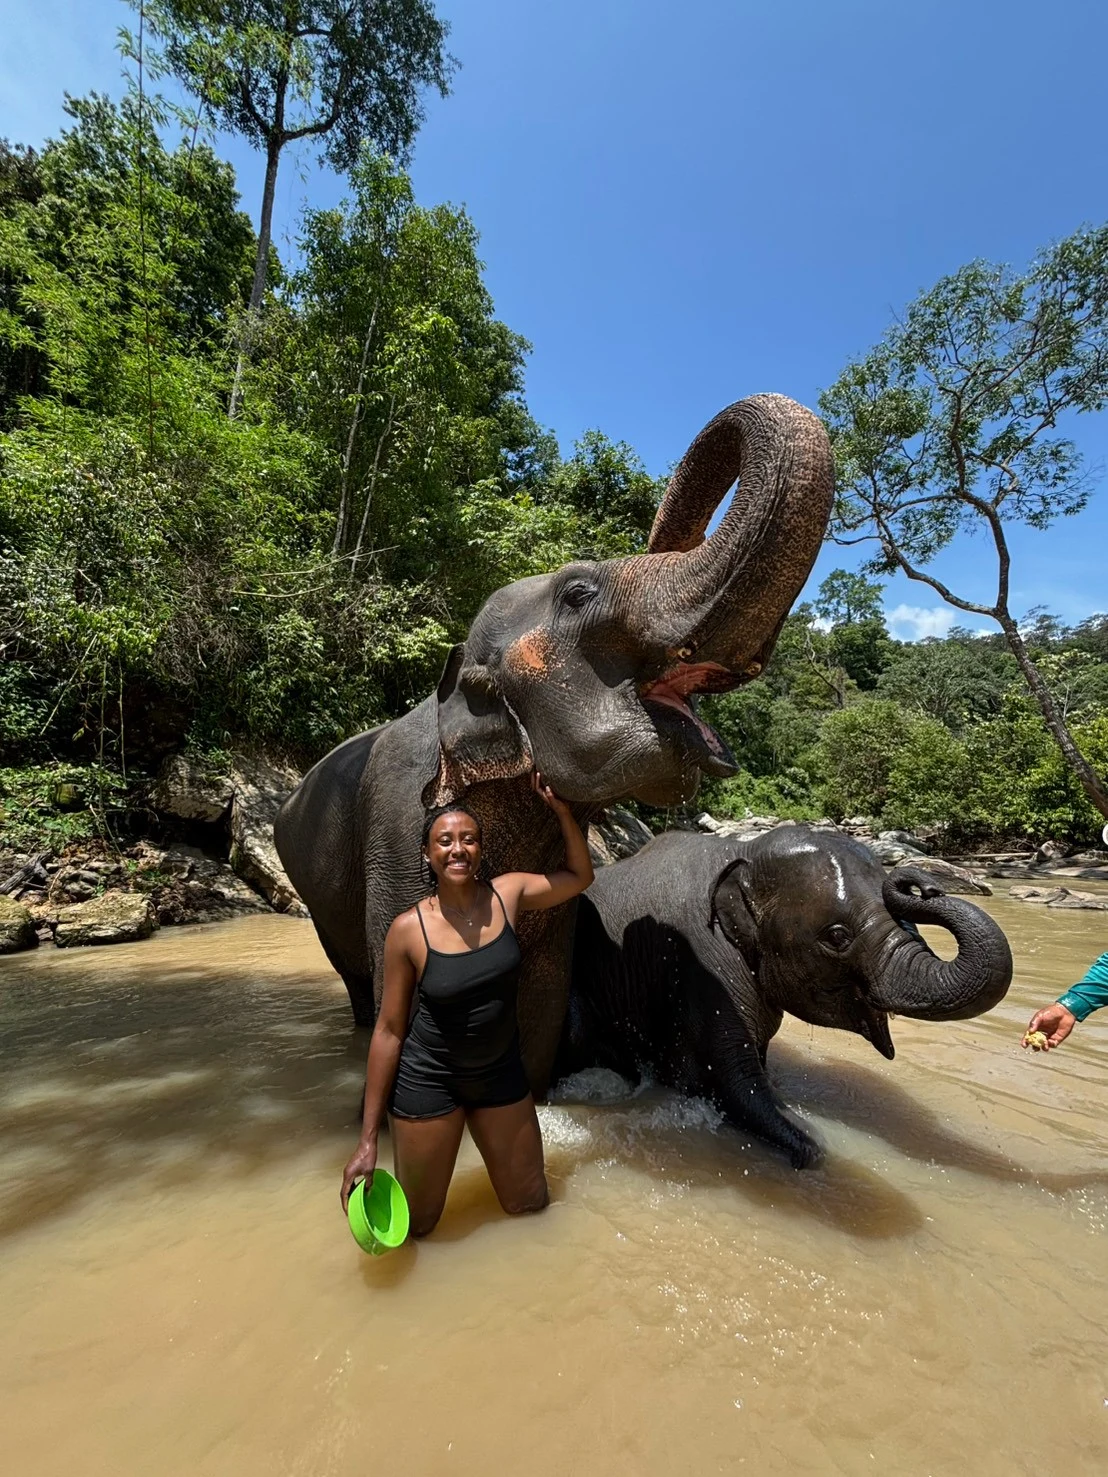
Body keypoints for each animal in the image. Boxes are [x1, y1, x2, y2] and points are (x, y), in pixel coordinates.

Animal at [557, 825, 1013, 1166]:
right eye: (837, 937)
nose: (923, 886)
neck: (739, 852)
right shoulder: (695, 963)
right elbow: (734, 1080)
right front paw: (810, 1149)